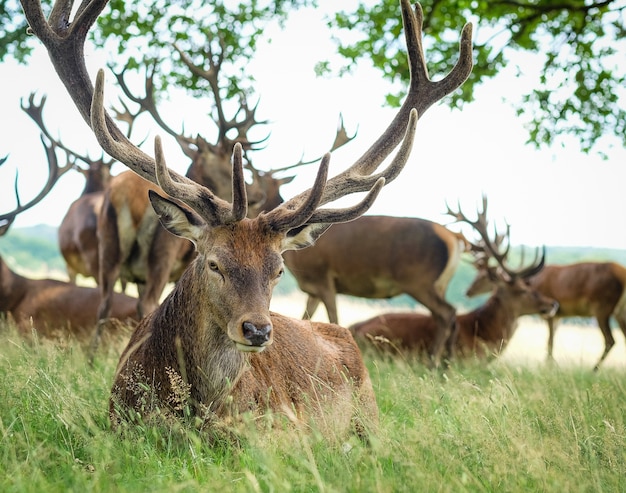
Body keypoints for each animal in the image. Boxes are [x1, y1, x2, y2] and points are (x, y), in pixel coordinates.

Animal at [280, 215, 466, 362]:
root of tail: (453, 237)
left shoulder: (323, 279)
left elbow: (333, 318)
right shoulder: (314, 290)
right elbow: (305, 318)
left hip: (419, 281)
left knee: (447, 312)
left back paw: (434, 363)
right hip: (440, 285)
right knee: (445, 317)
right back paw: (447, 363)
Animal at [348, 197, 560, 362]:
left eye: (531, 285)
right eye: (524, 290)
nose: (553, 304)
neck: (482, 333)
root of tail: (353, 328)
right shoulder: (468, 360)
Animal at [464, 260, 624, 368]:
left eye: (484, 276)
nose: (468, 291)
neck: (533, 284)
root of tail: (623, 274)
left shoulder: (551, 315)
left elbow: (549, 342)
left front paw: (548, 367)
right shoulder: (557, 316)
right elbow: (550, 342)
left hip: (602, 308)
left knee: (610, 340)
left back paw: (593, 370)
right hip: (618, 312)